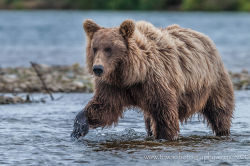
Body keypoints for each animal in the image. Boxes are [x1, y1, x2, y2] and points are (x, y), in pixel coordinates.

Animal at [71, 18, 235, 139]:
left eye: (109, 48)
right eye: (95, 48)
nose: (98, 68)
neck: (132, 74)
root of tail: (203, 36)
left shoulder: (155, 81)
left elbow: (164, 112)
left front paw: (165, 136)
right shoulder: (114, 86)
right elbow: (105, 107)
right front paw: (78, 128)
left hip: (212, 82)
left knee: (219, 110)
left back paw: (223, 131)